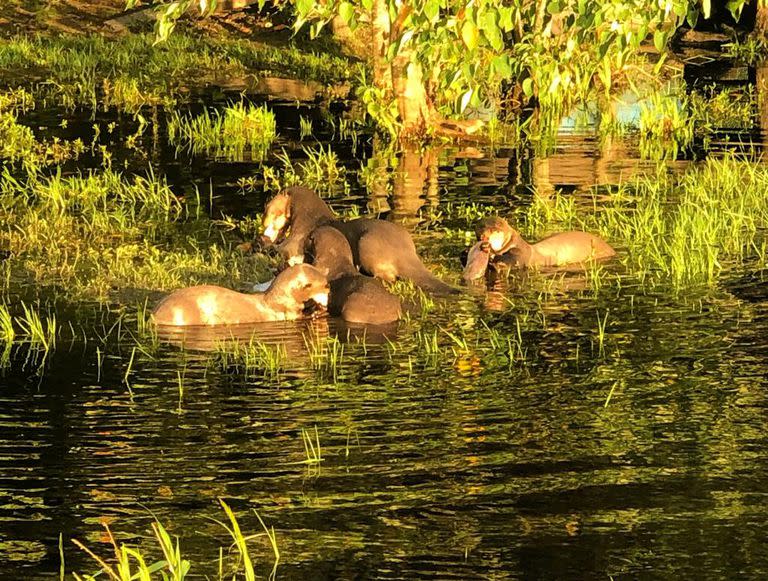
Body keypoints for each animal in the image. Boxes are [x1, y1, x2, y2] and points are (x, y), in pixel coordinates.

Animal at [152, 264, 328, 326]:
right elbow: (300, 316)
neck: (277, 299)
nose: (329, 289)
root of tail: (156, 312)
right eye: (326, 284)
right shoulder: (286, 312)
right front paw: (317, 311)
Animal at [260, 186, 460, 294]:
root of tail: (406, 253)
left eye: (266, 209)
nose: (263, 222)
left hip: (367, 244)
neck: (309, 218)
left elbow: (283, 250)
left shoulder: (296, 240)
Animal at [462, 216, 616, 278]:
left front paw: (496, 264)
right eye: (480, 228)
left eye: (495, 229)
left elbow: (514, 262)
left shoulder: (520, 252)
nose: (484, 237)